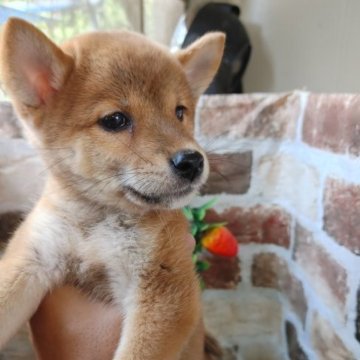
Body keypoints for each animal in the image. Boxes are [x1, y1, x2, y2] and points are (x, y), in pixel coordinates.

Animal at [0, 18, 224, 358]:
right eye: (115, 120)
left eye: (180, 112)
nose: (192, 161)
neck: (95, 223)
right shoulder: (32, 256)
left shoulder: (164, 284)